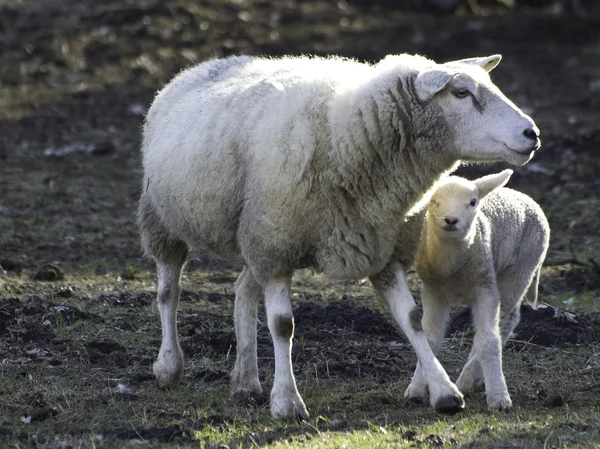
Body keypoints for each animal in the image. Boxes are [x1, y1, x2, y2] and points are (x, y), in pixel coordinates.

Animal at [410, 170, 552, 408]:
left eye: (472, 202)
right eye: (433, 201)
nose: (451, 220)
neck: (451, 267)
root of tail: (522, 194)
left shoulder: (485, 288)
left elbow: (489, 341)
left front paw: (499, 397)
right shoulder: (432, 291)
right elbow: (430, 339)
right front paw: (416, 389)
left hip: (520, 270)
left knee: (505, 321)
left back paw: (468, 379)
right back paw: (469, 380)